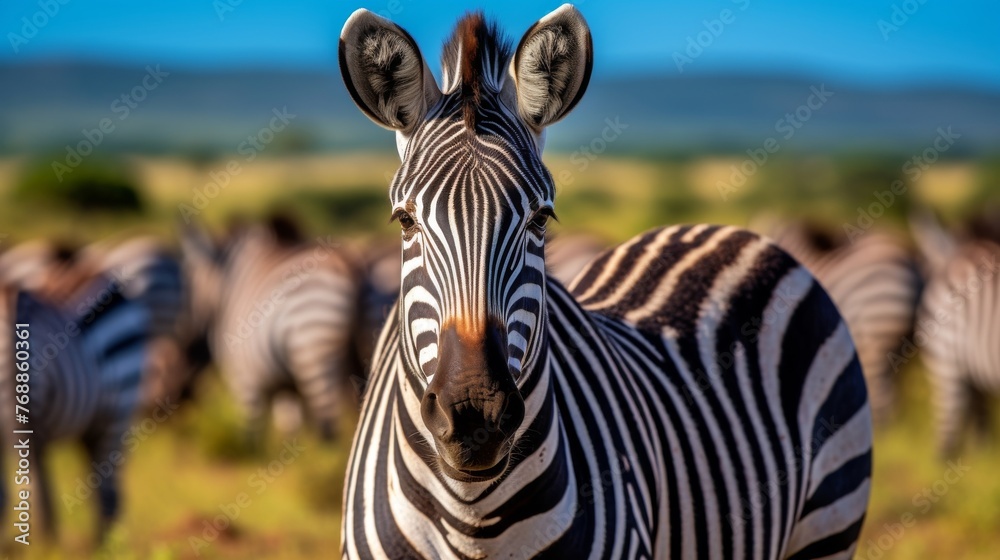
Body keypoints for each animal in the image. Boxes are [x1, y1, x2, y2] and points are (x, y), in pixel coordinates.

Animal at [178, 217, 364, 443]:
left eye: (185, 285)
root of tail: (348, 266)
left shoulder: (246, 383)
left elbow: (252, 437)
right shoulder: (285, 388)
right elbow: (289, 427)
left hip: (314, 356)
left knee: (328, 427)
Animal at [338, 6, 872, 559]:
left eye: (540, 220)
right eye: (405, 221)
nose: (474, 418)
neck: (473, 518)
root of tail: (725, 229)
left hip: (831, 519)